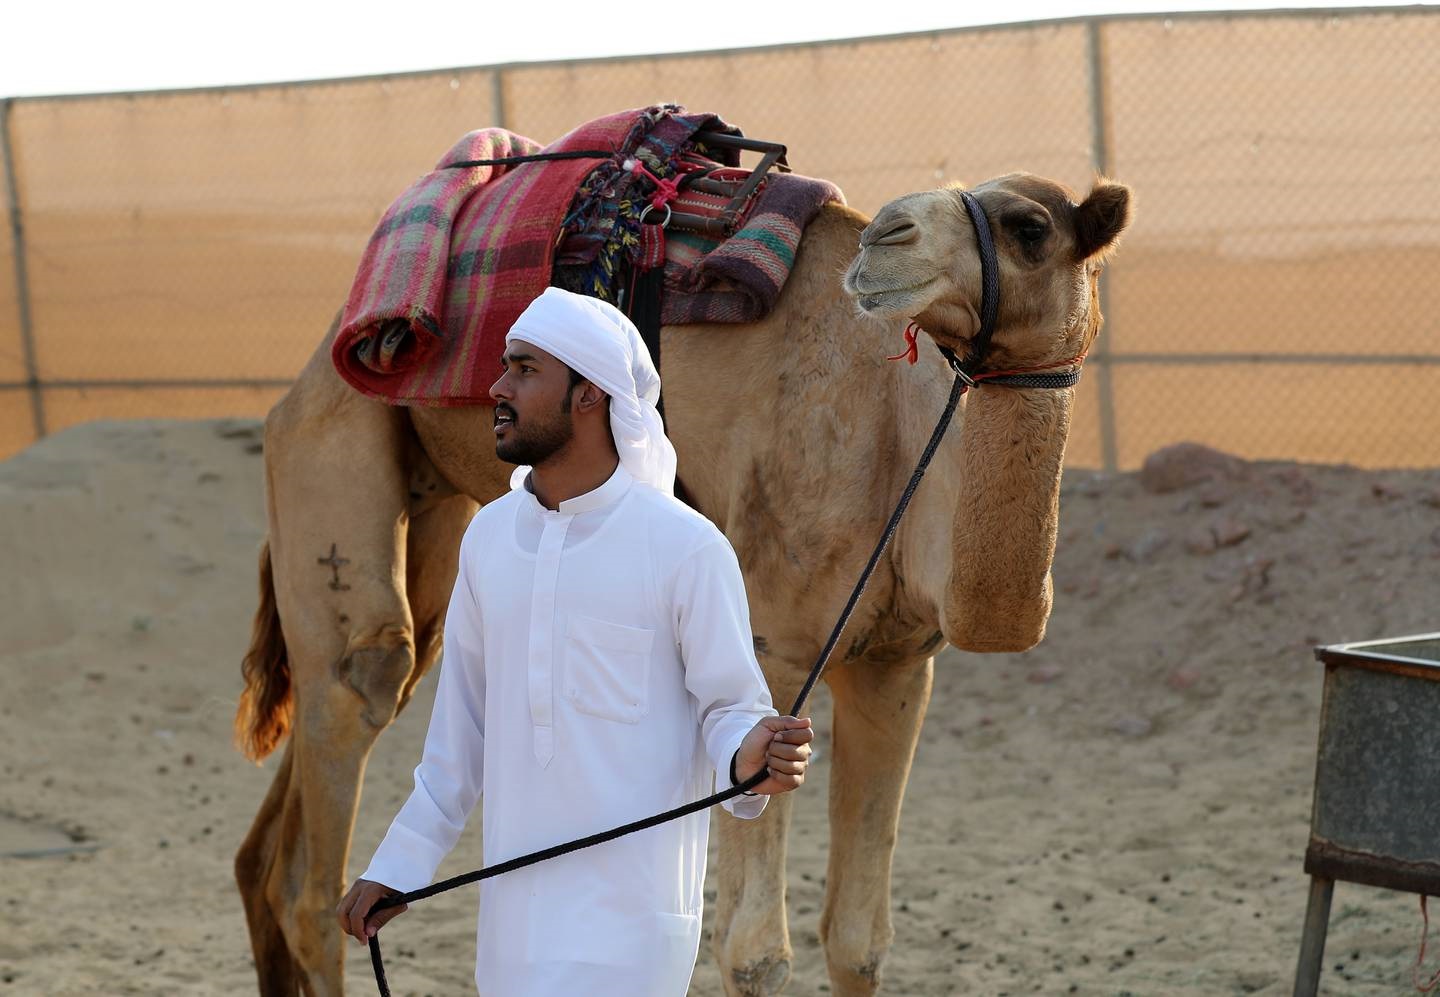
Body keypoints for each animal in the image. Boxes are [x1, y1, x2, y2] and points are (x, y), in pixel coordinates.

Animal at [236, 167, 1128, 991]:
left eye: (1029, 226)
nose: (888, 234)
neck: (892, 427)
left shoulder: (897, 662)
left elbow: (858, 939)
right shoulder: (773, 645)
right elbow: (755, 949)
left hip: (432, 497)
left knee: (287, 816)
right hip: (336, 426)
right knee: (347, 736)